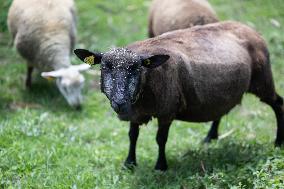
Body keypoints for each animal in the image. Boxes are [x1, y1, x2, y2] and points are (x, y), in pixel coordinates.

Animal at [74, 21, 284, 171]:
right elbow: (132, 136)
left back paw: (278, 142)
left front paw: (161, 166)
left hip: (263, 80)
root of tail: (250, 28)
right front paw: (129, 163)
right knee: (221, 109)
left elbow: (160, 139)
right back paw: (210, 137)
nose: (119, 102)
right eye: (104, 67)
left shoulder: (167, 111)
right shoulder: (135, 113)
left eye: (136, 68)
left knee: (278, 104)